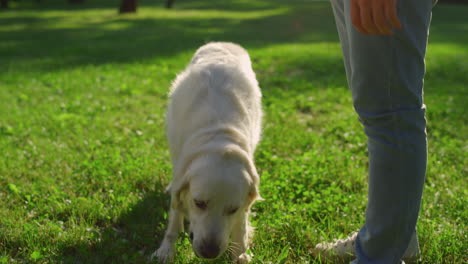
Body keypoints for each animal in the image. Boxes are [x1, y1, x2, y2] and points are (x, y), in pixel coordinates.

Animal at [154, 42, 264, 262]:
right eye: (199, 203)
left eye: (232, 209)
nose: (209, 252)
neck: (218, 137)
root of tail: (223, 42)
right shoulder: (181, 171)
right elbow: (174, 215)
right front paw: (166, 250)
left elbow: (241, 225)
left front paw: (241, 253)